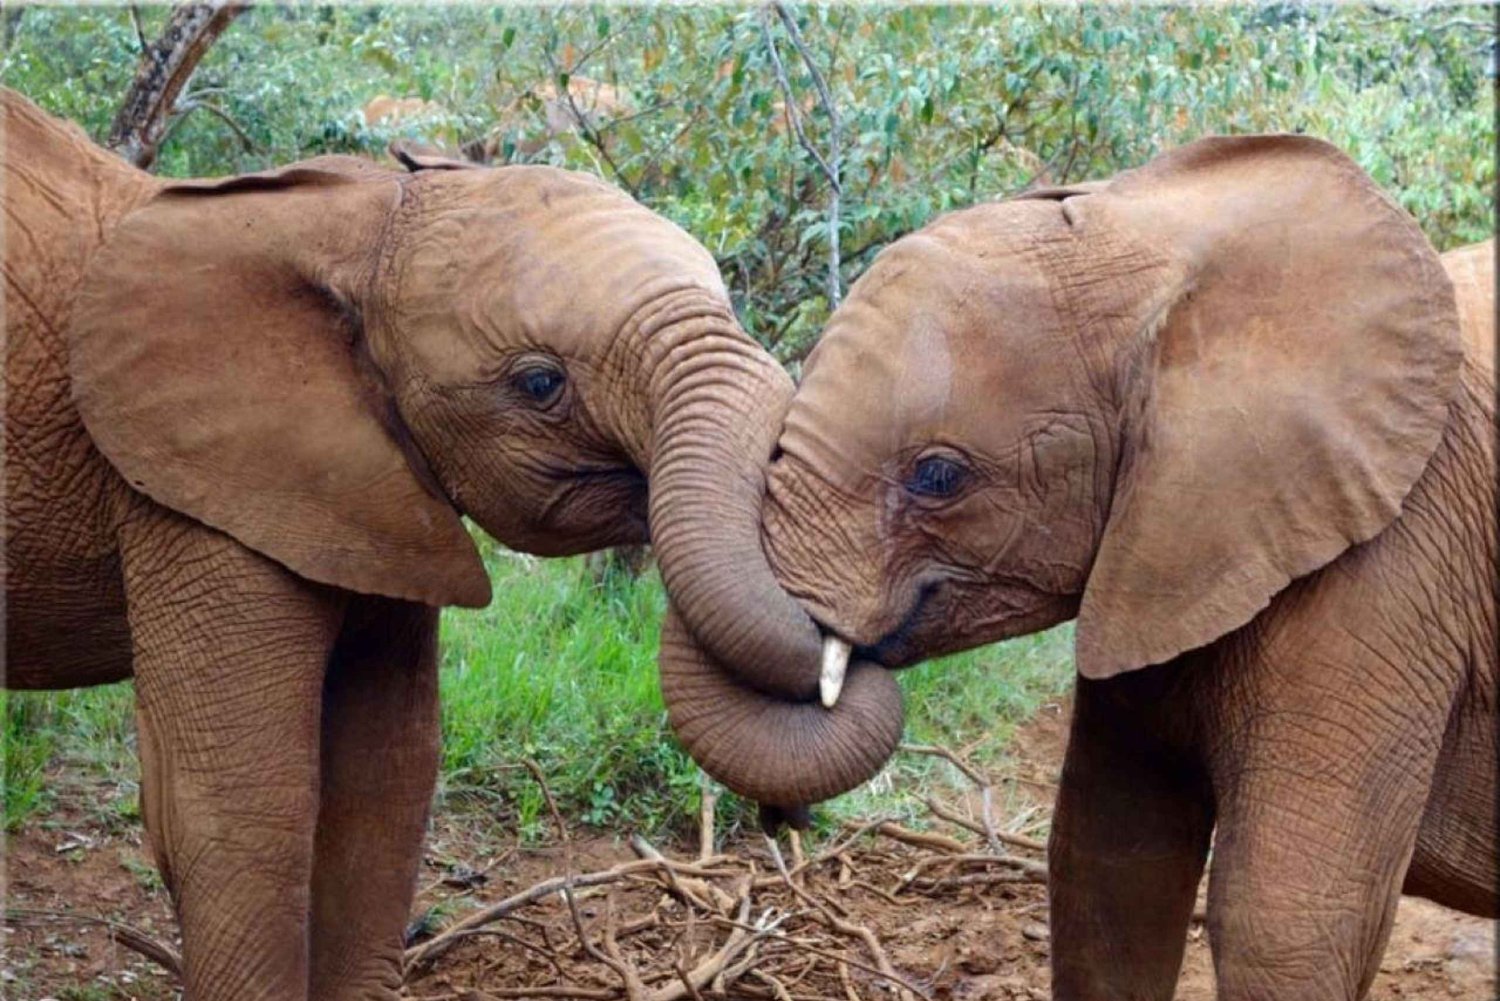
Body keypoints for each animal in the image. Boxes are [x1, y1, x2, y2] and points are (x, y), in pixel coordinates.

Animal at [3, 86, 814, 1001]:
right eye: (540, 383)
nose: (783, 821)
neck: (354, 218)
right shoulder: (183, 487)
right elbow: (245, 805)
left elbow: (386, 779)